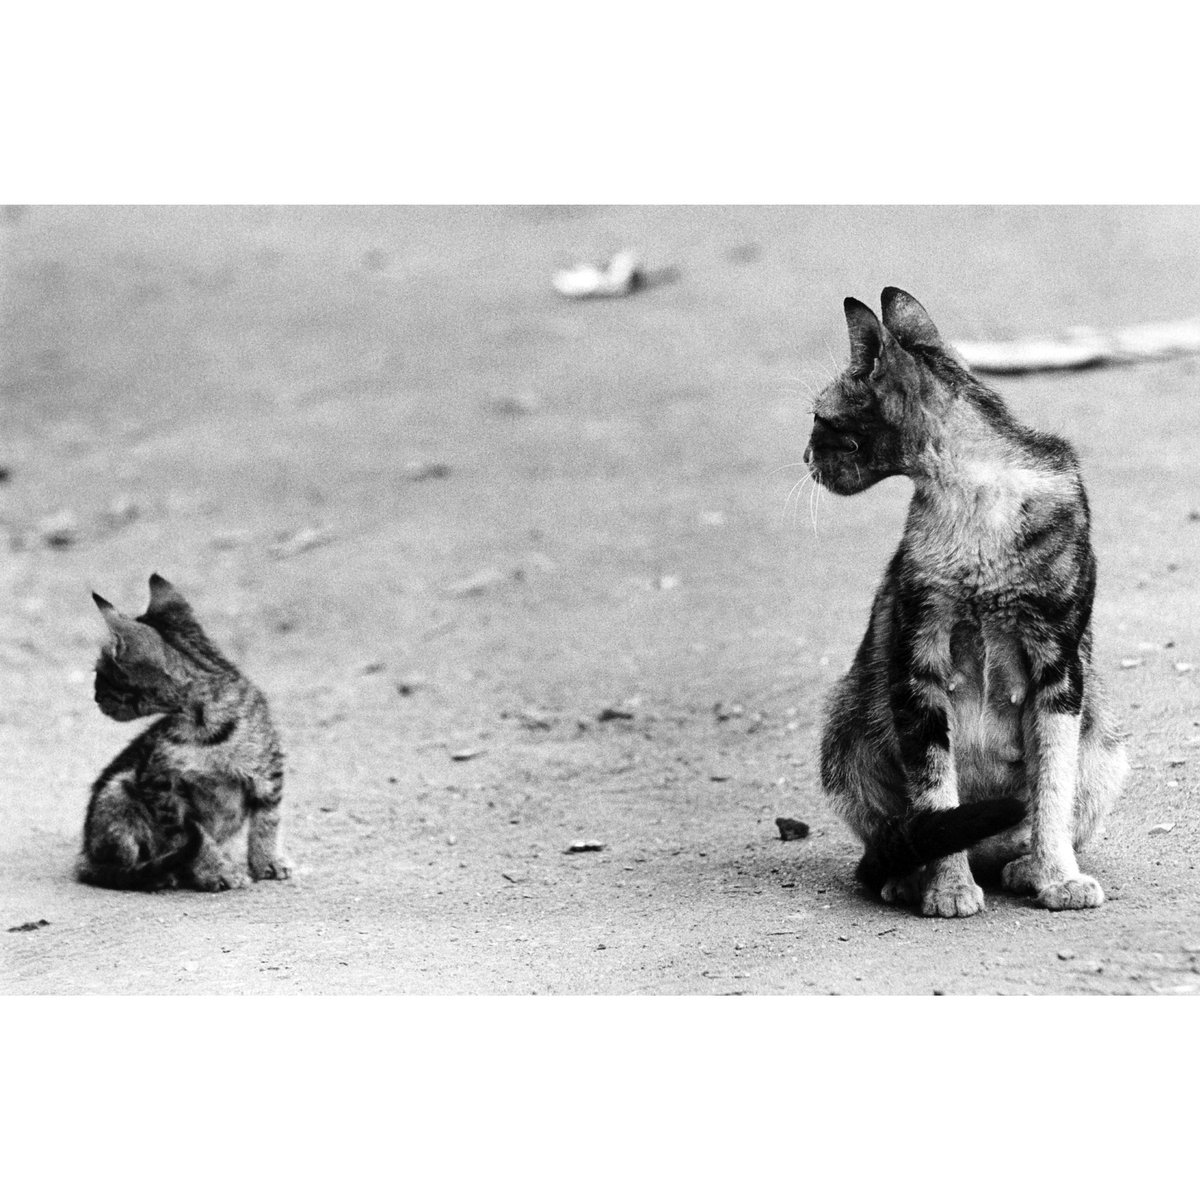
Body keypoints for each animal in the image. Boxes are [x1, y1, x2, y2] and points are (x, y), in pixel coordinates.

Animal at [79, 571, 292, 892]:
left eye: (100, 674)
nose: (94, 696)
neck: (205, 725)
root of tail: (86, 854)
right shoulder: (160, 784)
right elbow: (193, 837)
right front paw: (217, 871)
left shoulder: (269, 771)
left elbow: (267, 820)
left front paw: (267, 862)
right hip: (118, 790)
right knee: (112, 869)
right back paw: (162, 874)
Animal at [806, 285, 1123, 912]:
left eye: (818, 418)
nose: (805, 458)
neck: (973, 495)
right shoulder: (918, 667)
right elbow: (936, 790)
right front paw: (949, 889)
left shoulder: (1059, 668)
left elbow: (1051, 788)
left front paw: (1058, 877)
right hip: (846, 724)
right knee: (897, 835)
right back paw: (912, 877)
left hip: (1104, 737)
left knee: (1021, 832)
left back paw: (1023, 867)